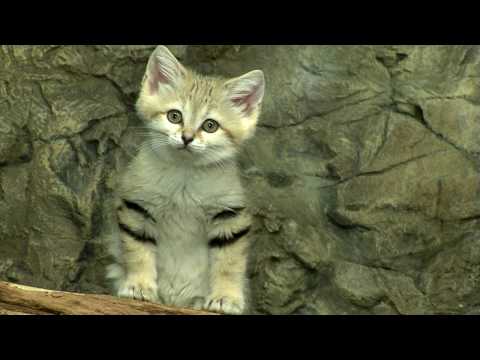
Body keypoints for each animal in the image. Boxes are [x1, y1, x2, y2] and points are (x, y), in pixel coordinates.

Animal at [105, 45, 264, 316]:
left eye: (210, 125)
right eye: (174, 116)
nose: (187, 138)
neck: (185, 176)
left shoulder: (231, 215)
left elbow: (229, 263)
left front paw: (226, 297)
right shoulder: (137, 205)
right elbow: (138, 252)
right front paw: (139, 286)